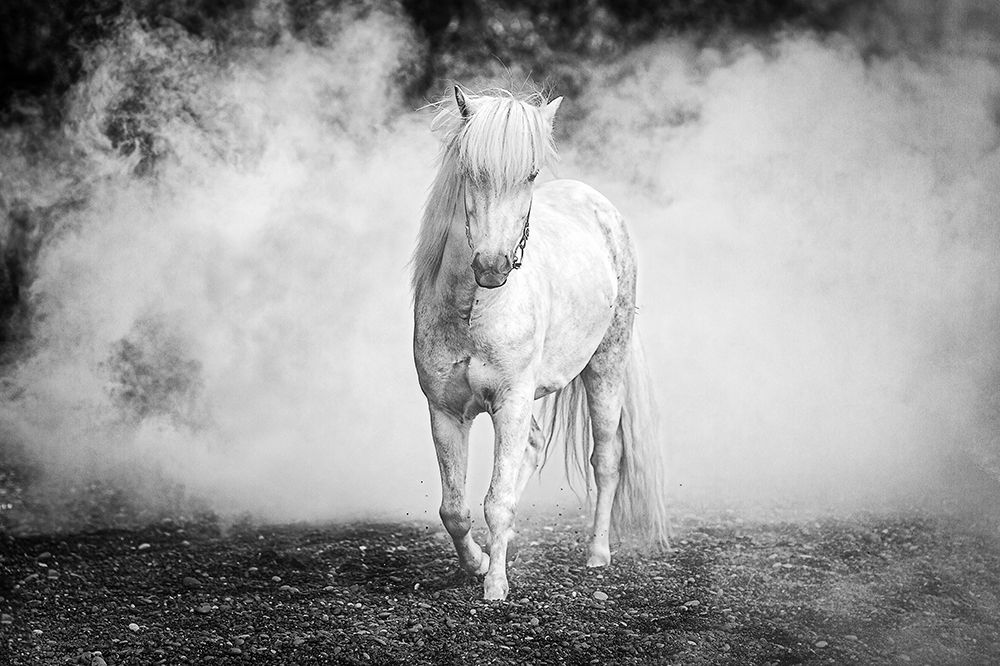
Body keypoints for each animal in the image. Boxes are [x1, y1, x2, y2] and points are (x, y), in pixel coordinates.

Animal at [411, 85, 668, 601]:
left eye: (530, 174)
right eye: (470, 170)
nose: (492, 267)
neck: (474, 309)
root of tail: (600, 206)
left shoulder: (510, 402)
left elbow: (498, 501)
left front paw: (495, 587)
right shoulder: (444, 410)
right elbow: (454, 509)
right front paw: (478, 563)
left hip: (605, 368)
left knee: (606, 459)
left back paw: (597, 554)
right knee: (532, 448)